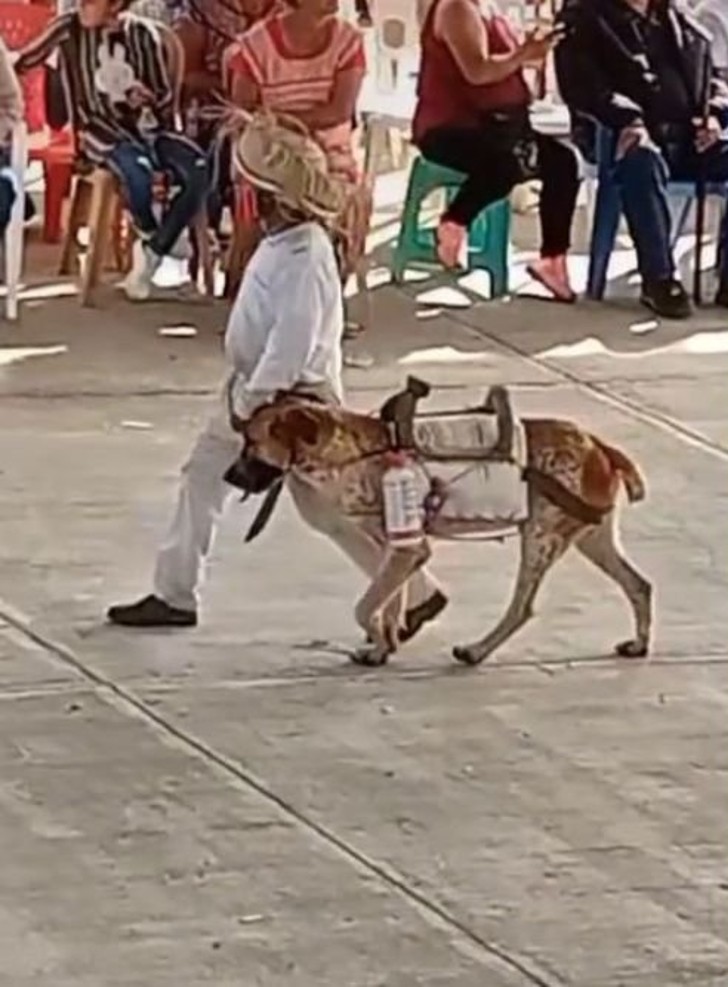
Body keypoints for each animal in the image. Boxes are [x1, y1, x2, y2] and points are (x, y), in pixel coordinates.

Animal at [236, 392, 652, 664]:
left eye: (251, 442)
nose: (228, 476)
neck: (350, 453)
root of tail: (597, 445)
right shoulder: (397, 550)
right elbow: (390, 602)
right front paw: (384, 645)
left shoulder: (409, 550)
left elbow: (366, 607)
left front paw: (379, 636)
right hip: (593, 539)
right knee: (639, 585)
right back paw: (638, 644)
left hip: (540, 539)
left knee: (522, 608)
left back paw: (478, 650)